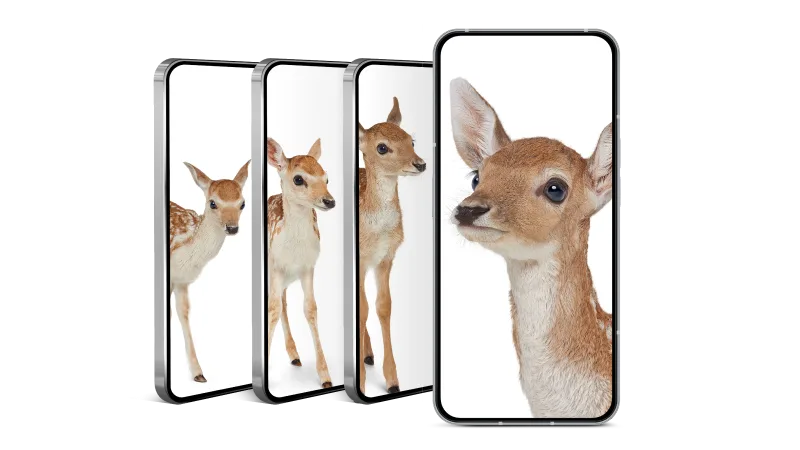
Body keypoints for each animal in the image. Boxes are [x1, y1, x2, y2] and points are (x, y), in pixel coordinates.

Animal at [169, 160, 251, 383]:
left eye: (242, 203)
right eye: (212, 203)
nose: (232, 228)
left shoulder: (181, 281)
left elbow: (183, 312)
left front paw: (198, 373)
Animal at [266, 137, 335, 389]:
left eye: (326, 178)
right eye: (298, 179)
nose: (329, 201)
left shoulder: (308, 267)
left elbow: (310, 309)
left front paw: (325, 375)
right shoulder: (275, 266)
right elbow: (273, 309)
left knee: (284, 303)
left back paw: (294, 355)